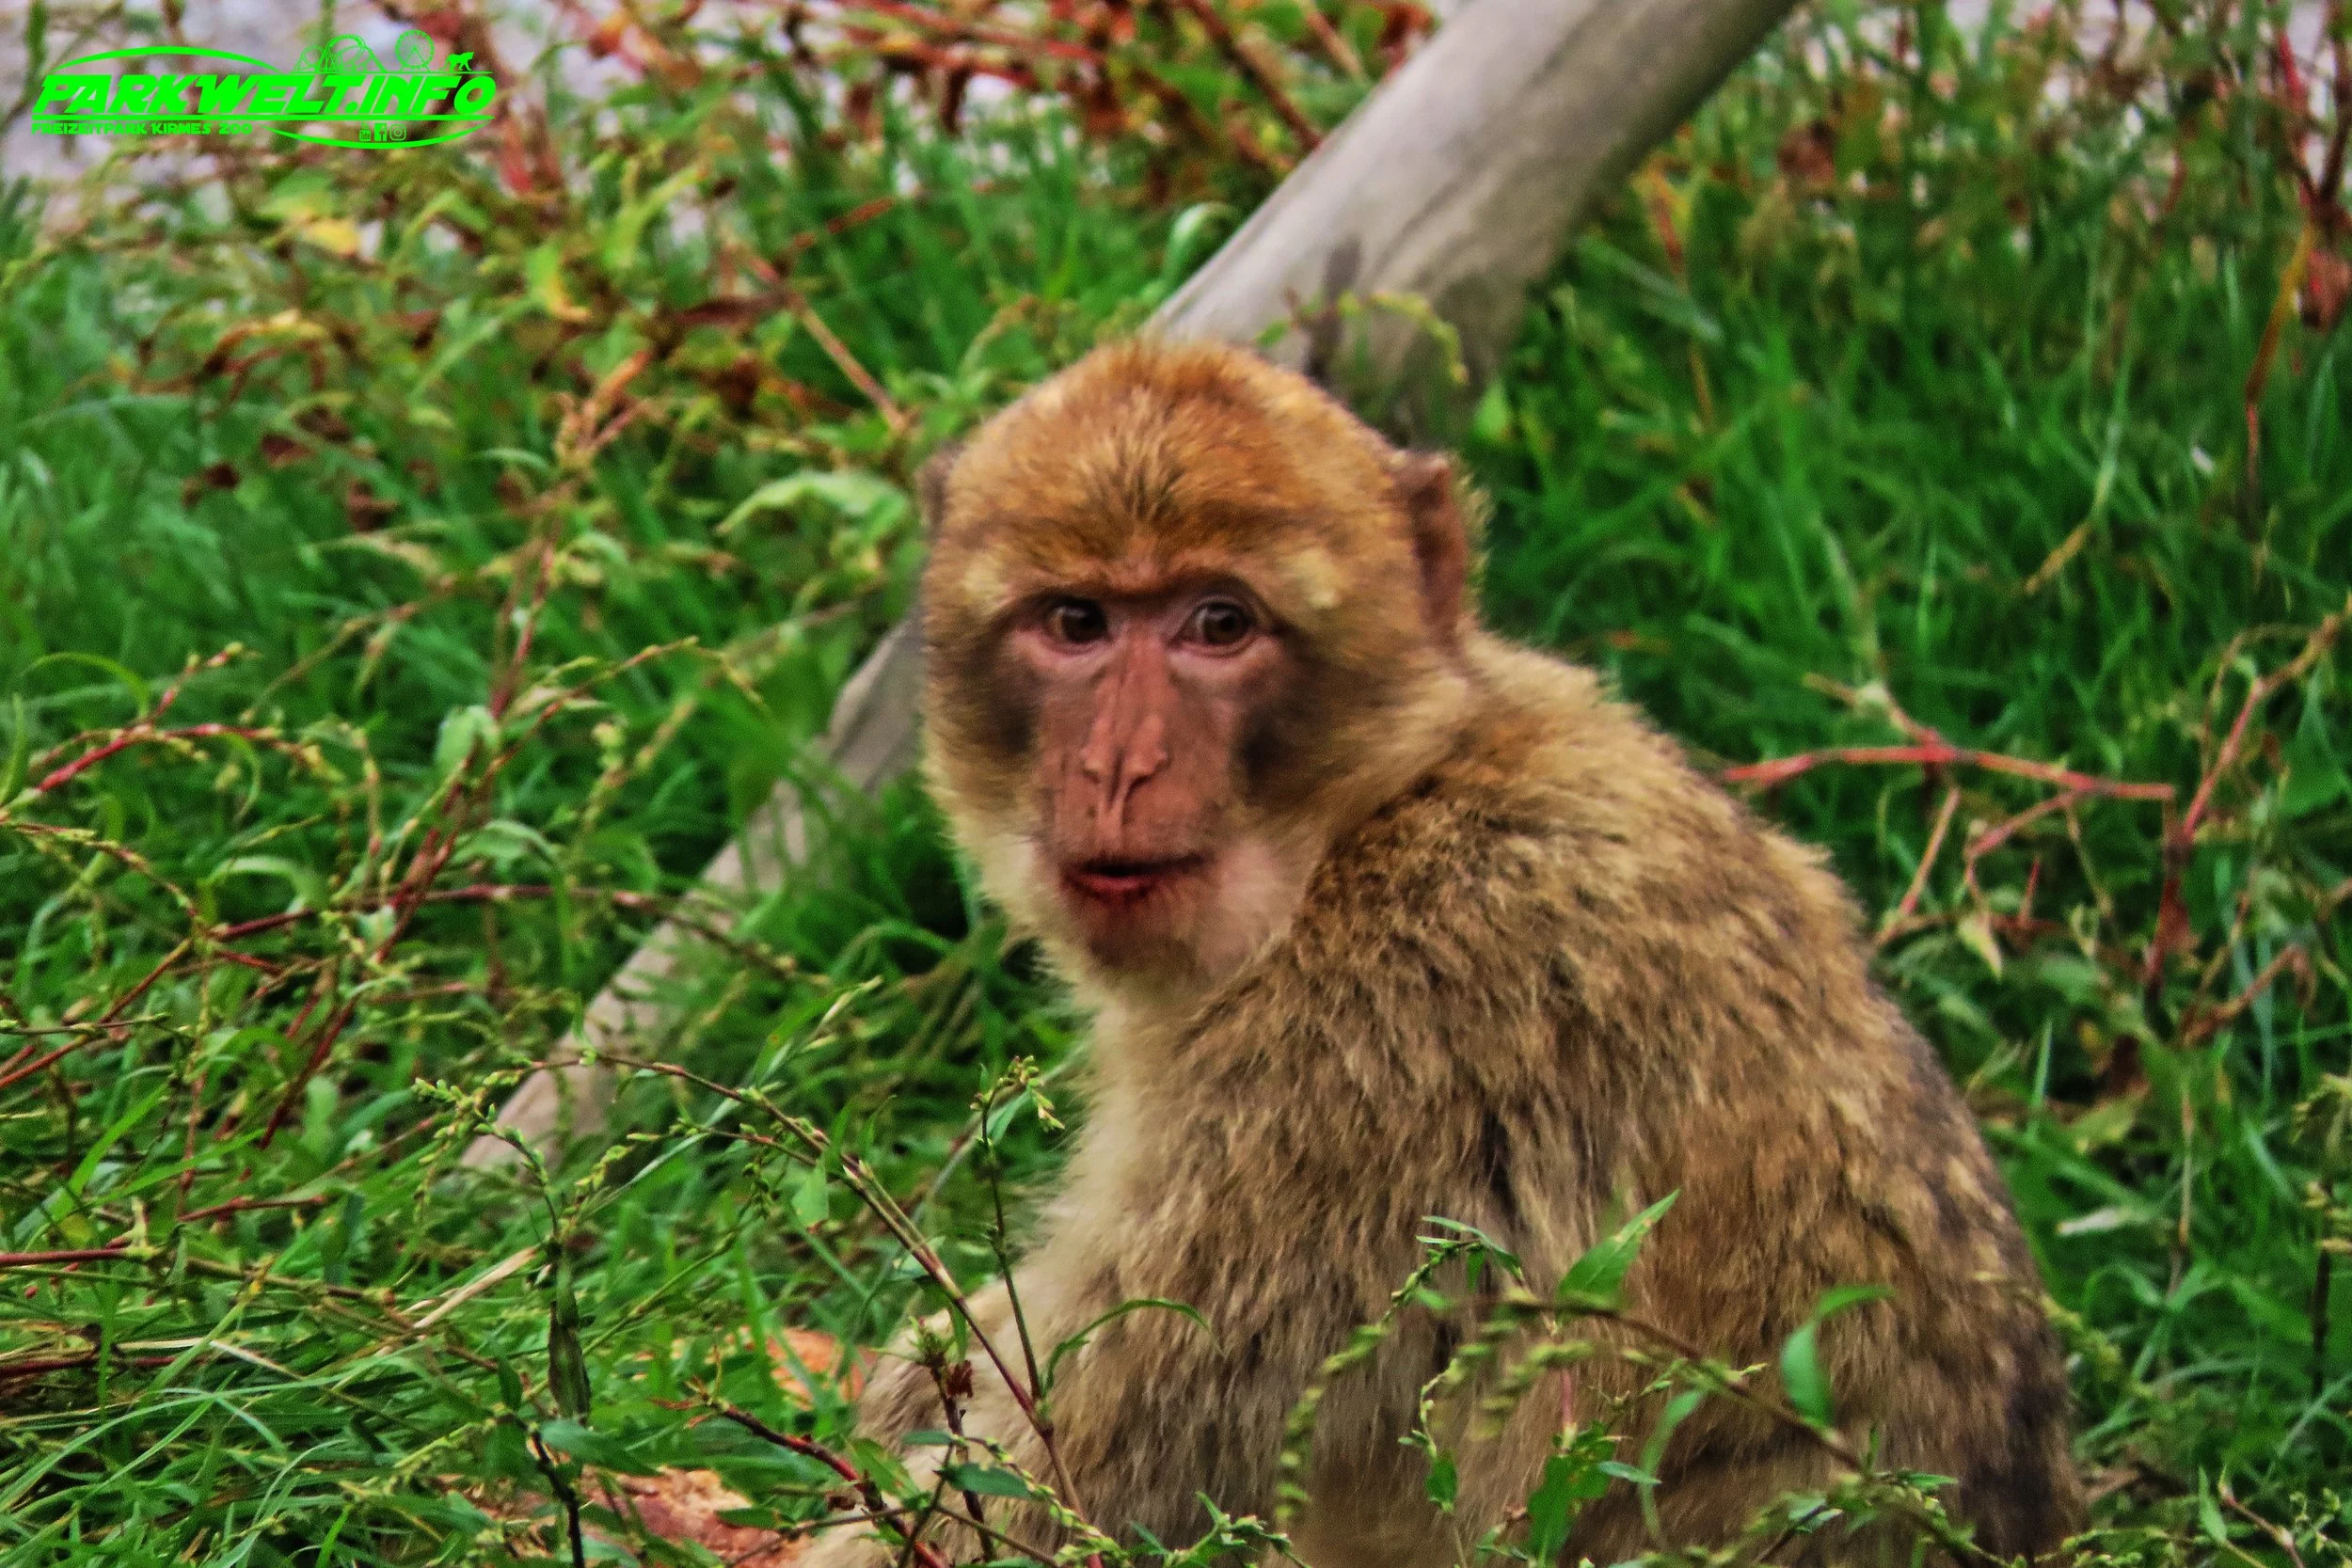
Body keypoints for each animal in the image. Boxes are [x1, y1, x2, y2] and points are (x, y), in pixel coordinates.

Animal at [799, 337, 2082, 1568]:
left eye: (1220, 623)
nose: (1119, 766)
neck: (1372, 812)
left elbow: (1060, 1485)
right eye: (1076, 623)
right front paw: (923, 1359)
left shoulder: (1359, 1046)